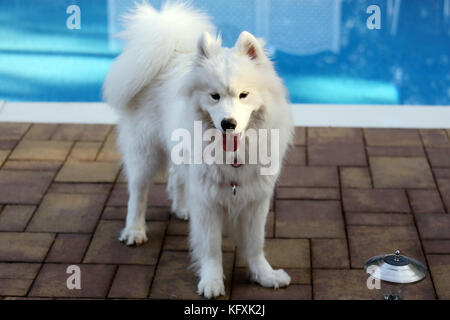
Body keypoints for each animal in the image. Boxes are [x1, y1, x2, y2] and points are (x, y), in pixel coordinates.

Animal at [105, 1, 296, 298]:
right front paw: (212, 282)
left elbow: (255, 244)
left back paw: (182, 208)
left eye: (243, 95)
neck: (232, 155)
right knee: (138, 193)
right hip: (145, 153)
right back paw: (134, 231)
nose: (228, 123)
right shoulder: (208, 202)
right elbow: (211, 248)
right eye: (214, 96)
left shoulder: (255, 200)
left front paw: (264, 276)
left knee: (176, 178)